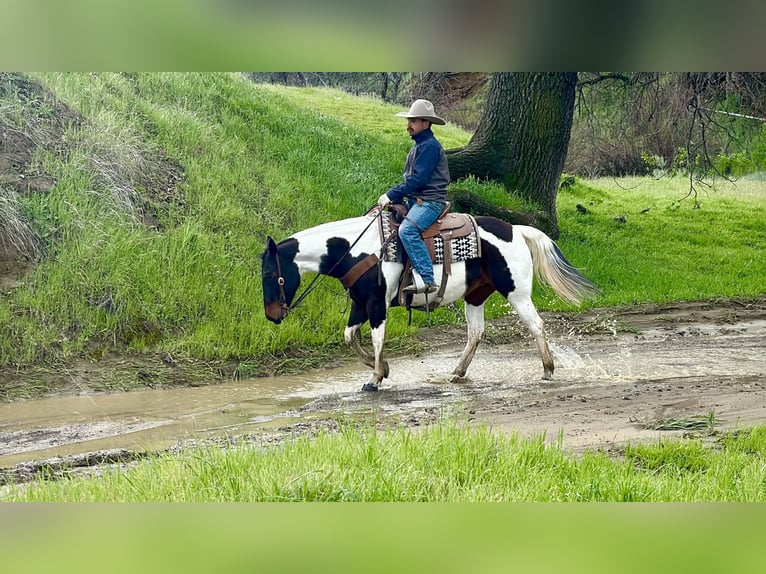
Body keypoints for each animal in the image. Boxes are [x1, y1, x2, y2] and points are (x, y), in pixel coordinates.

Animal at [260, 208, 600, 392]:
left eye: (271, 274)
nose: (272, 315)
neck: (357, 250)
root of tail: (516, 229)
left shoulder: (377, 305)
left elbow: (377, 338)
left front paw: (374, 378)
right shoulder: (359, 304)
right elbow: (349, 337)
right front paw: (382, 369)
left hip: (516, 293)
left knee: (536, 325)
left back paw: (548, 369)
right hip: (475, 296)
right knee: (476, 333)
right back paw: (457, 372)